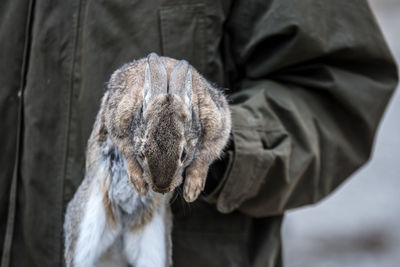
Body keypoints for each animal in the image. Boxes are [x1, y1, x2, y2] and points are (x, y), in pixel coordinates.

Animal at [63, 53, 231, 266]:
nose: (161, 188)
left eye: (184, 154)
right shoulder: (117, 116)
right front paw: (139, 185)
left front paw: (192, 190)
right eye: (142, 153)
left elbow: (204, 157)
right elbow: (127, 153)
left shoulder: (219, 123)